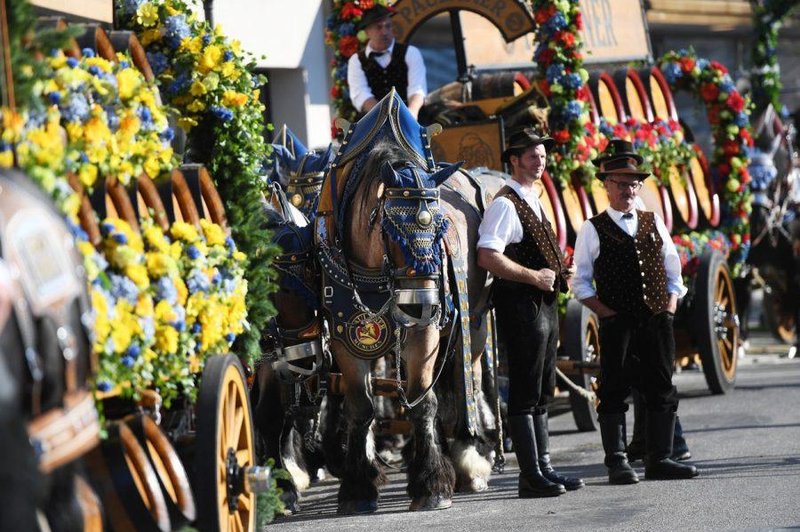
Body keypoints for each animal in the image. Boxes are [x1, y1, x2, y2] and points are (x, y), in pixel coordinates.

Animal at [316, 92, 504, 516]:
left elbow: (423, 400)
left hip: (474, 324)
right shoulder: (345, 331)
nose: (420, 307)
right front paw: (357, 487)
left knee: (464, 383)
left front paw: (432, 483)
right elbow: (361, 406)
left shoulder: (426, 332)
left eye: (440, 227)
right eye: (391, 229)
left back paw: (468, 459)